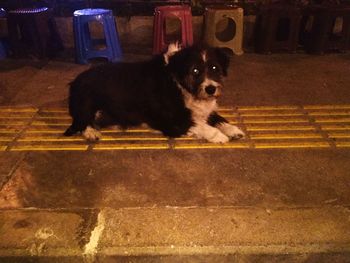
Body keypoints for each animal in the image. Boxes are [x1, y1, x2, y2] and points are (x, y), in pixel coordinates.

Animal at [63, 43, 243, 142]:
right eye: (195, 71)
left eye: (214, 68)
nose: (211, 89)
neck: (179, 84)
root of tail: (75, 81)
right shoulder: (172, 122)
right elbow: (199, 125)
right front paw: (219, 136)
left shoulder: (203, 110)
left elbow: (217, 118)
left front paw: (233, 129)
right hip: (86, 101)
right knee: (81, 121)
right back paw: (91, 132)